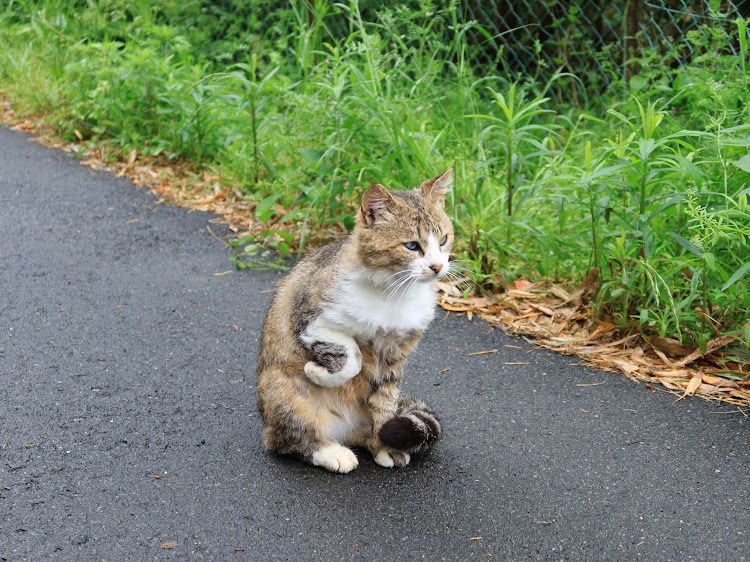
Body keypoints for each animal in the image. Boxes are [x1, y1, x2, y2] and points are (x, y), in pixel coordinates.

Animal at [256, 167, 456, 472]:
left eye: (443, 239)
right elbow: (352, 357)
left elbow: (385, 405)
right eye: (412, 245)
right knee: (284, 439)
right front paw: (320, 372)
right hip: (283, 390)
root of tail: (343, 431)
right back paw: (329, 452)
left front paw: (385, 444)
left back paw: (376, 443)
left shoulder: (396, 353)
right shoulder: (310, 320)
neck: (394, 292)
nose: (437, 266)